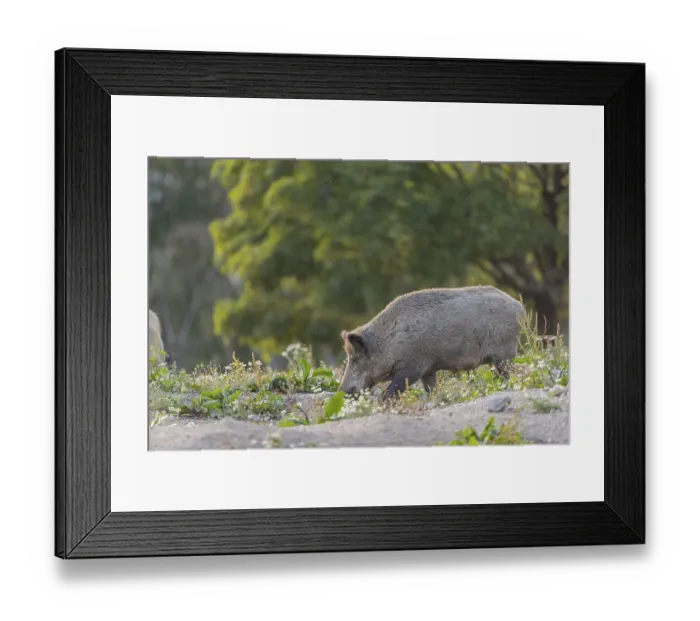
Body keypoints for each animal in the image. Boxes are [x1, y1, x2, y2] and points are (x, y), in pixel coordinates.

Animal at [338, 285, 526, 401]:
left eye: (355, 359)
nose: (342, 392)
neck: (387, 342)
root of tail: (519, 306)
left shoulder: (411, 365)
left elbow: (392, 390)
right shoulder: (428, 370)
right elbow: (430, 388)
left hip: (504, 352)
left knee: (510, 373)